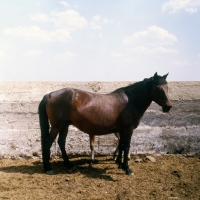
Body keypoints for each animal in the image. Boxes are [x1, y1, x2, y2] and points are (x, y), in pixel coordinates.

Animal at [38, 72, 171, 174]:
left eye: (167, 87)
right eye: (157, 87)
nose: (168, 106)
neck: (130, 101)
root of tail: (50, 94)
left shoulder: (121, 130)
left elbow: (121, 145)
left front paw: (119, 164)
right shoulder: (128, 129)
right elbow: (126, 146)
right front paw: (127, 168)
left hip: (64, 126)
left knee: (61, 142)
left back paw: (69, 165)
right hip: (57, 126)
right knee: (48, 142)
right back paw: (48, 168)